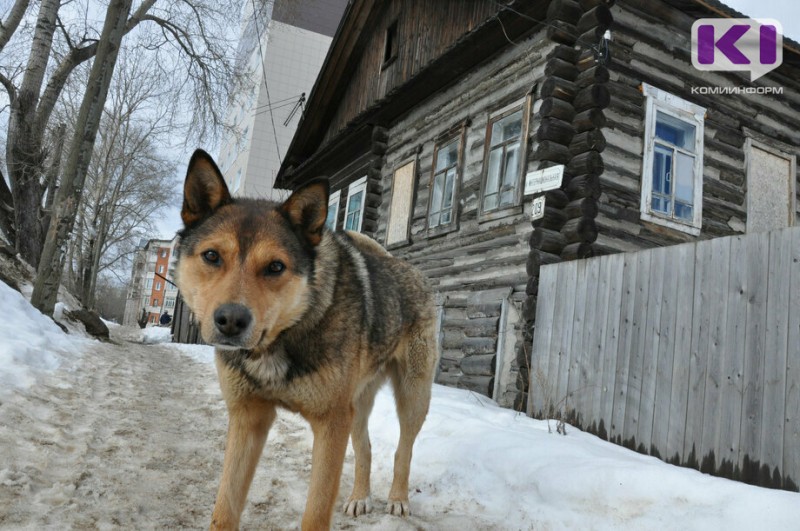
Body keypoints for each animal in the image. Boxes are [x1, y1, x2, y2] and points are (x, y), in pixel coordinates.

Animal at [175, 151, 440, 531]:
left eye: (275, 267)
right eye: (212, 256)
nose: (231, 321)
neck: (281, 338)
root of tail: (402, 265)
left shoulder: (330, 424)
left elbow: (315, 514)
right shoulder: (247, 418)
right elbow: (224, 510)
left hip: (411, 395)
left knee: (404, 448)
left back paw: (398, 499)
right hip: (357, 404)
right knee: (365, 447)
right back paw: (360, 497)